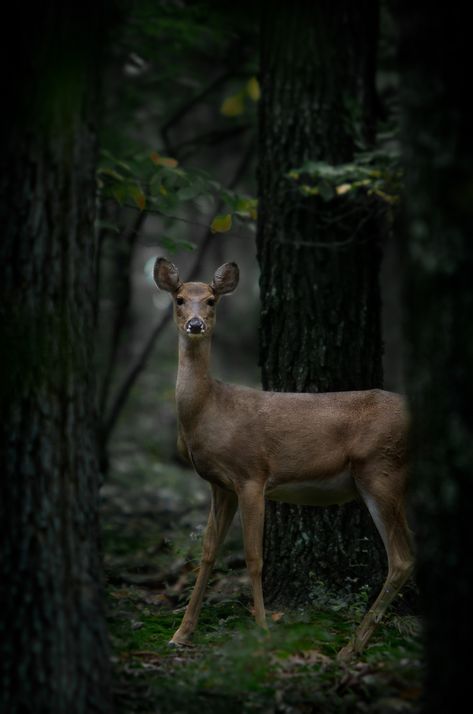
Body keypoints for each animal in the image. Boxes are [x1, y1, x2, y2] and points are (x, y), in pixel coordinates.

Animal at [154, 254, 412, 656]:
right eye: (179, 299)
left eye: (211, 300)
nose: (196, 324)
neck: (210, 409)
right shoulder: (220, 484)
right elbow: (208, 552)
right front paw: (181, 633)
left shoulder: (252, 474)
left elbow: (254, 558)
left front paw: (262, 630)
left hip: (381, 469)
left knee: (402, 559)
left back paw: (350, 648)